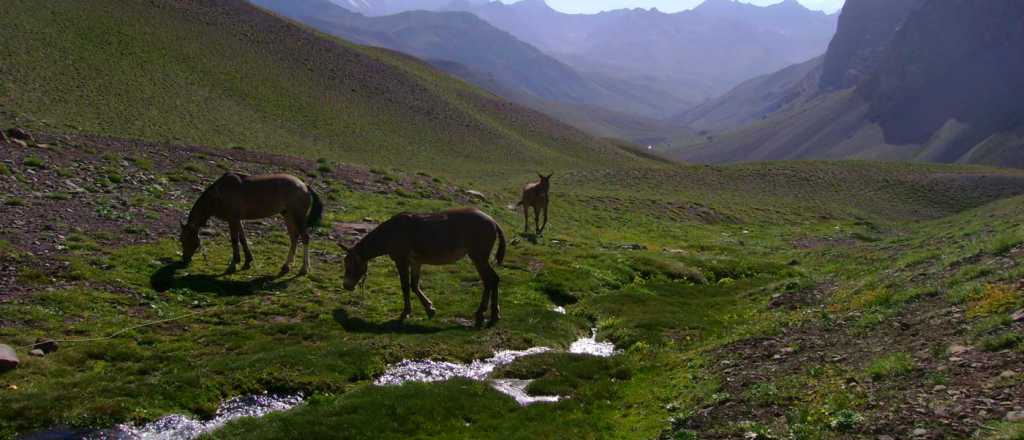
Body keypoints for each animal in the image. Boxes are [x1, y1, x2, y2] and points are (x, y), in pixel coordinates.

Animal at [180, 171, 323, 274]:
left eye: (183, 239)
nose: (184, 260)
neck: (219, 194)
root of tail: (305, 186)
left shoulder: (232, 219)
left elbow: (234, 240)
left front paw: (233, 264)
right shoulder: (238, 219)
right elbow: (243, 238)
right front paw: (247, 261)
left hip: (298, 217)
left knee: (305, 238)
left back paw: (304, 268)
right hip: (287, 215)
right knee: (294, 237)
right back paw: (286, 266)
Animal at [342, 206, 505, 327]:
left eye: (350, 265)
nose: (346, 286)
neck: (391, 232)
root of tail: (492, 221)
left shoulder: (401, 261)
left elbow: (405, 286)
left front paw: (405, 313)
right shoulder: (416, 262)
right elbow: (414, 285)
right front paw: (429, 309)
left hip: (478, 257)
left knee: (490, 280)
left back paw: (484, 313)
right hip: (479, 258)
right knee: (492, 280)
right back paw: (492, 314)